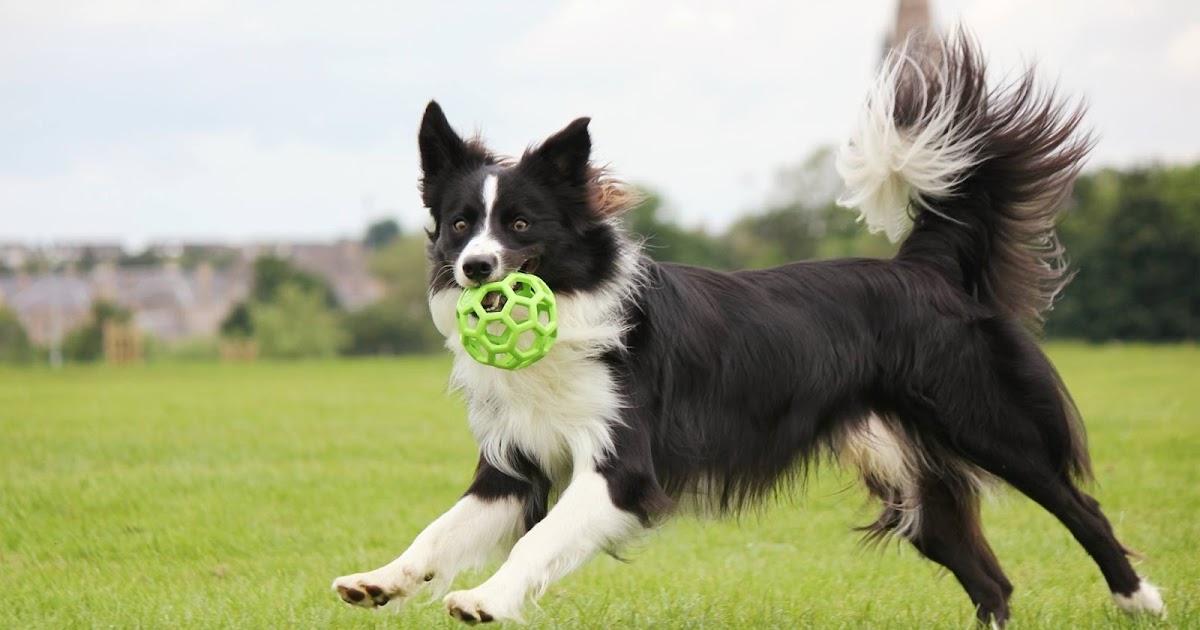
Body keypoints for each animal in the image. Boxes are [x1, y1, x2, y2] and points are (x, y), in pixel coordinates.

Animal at [333, 33, 1166, 624]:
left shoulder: (624, 468)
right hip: (911, 475)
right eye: (459, 223)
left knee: (1080, 508)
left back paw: (1140, 599)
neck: (572, 305)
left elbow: (541, 540)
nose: (477, 269)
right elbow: (439, 533)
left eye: (521, 224)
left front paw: (487, 600)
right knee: (990, 578)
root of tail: (924, 267)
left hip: (988, 422)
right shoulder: (514, 465)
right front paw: (379, 581)